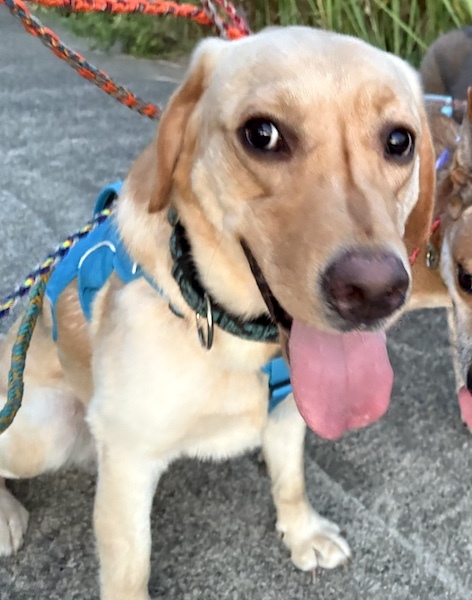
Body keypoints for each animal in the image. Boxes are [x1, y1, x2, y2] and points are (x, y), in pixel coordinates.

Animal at [0, 27, 435, 600]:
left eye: (399, 141)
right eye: (262, 134)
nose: (375, 292)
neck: (228, 327)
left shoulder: (288, 414)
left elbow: (291, 479)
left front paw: (302, 532)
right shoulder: (129, 463)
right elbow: (129, 569)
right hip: (43, 431)